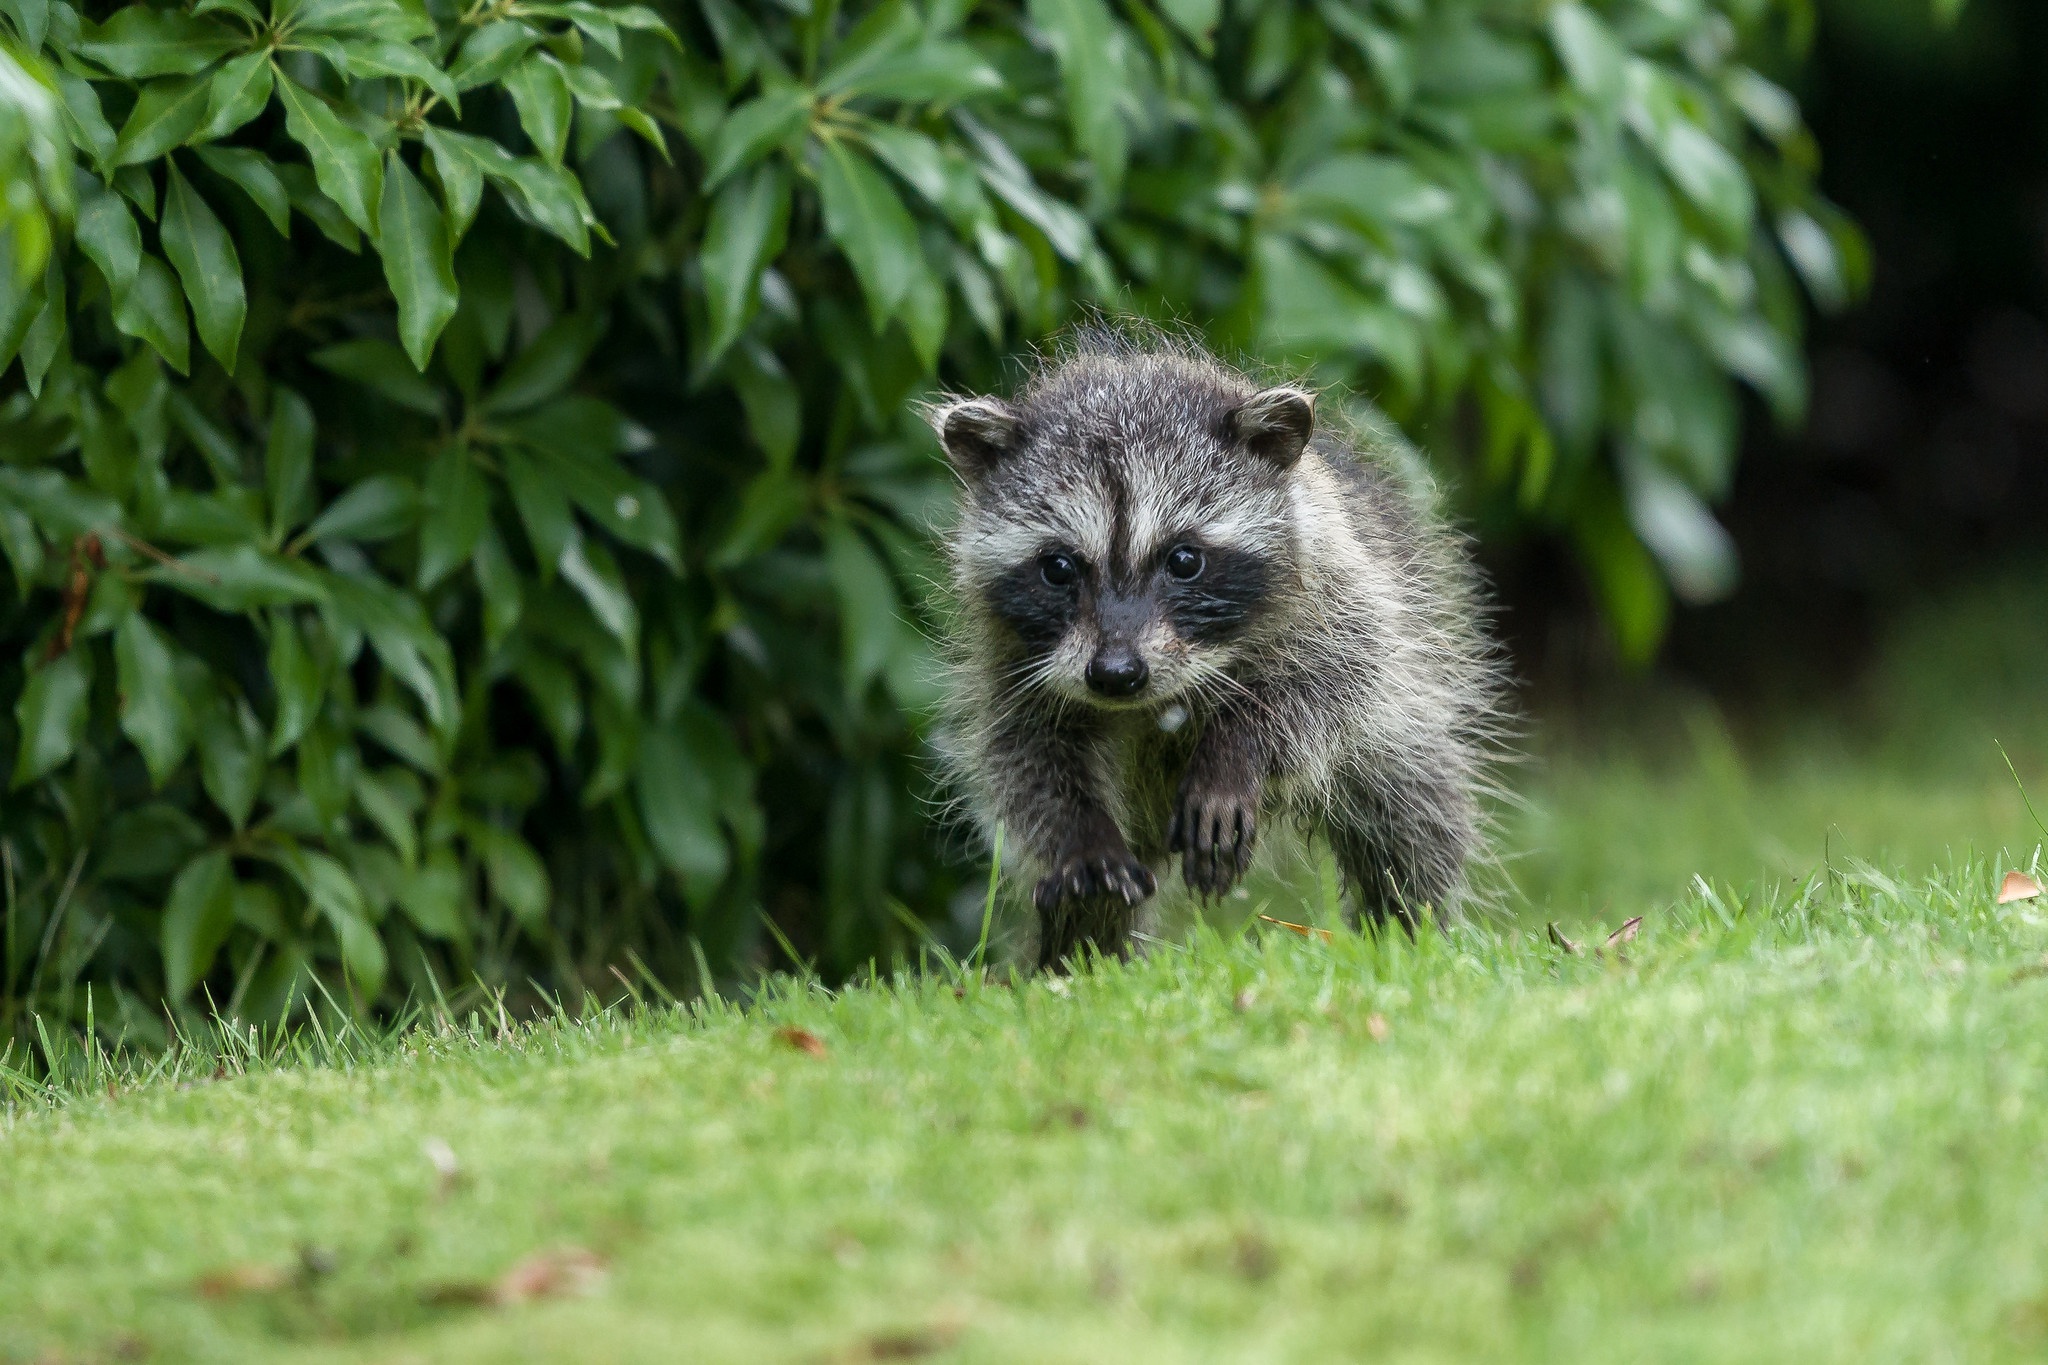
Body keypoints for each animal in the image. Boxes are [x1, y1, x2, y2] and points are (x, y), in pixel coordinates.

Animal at [929, 327, 1507, 970]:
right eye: (1057, 568)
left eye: (1184, 560)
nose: (1116, 674)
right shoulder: (1010, 654)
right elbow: (1025, 751)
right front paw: (1081, 836)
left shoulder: (1340, 587)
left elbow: (1330, 684)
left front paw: (1238, 748)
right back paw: (1079, 958)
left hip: (1405, 712)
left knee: (1411, 815)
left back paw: (1408, 929)